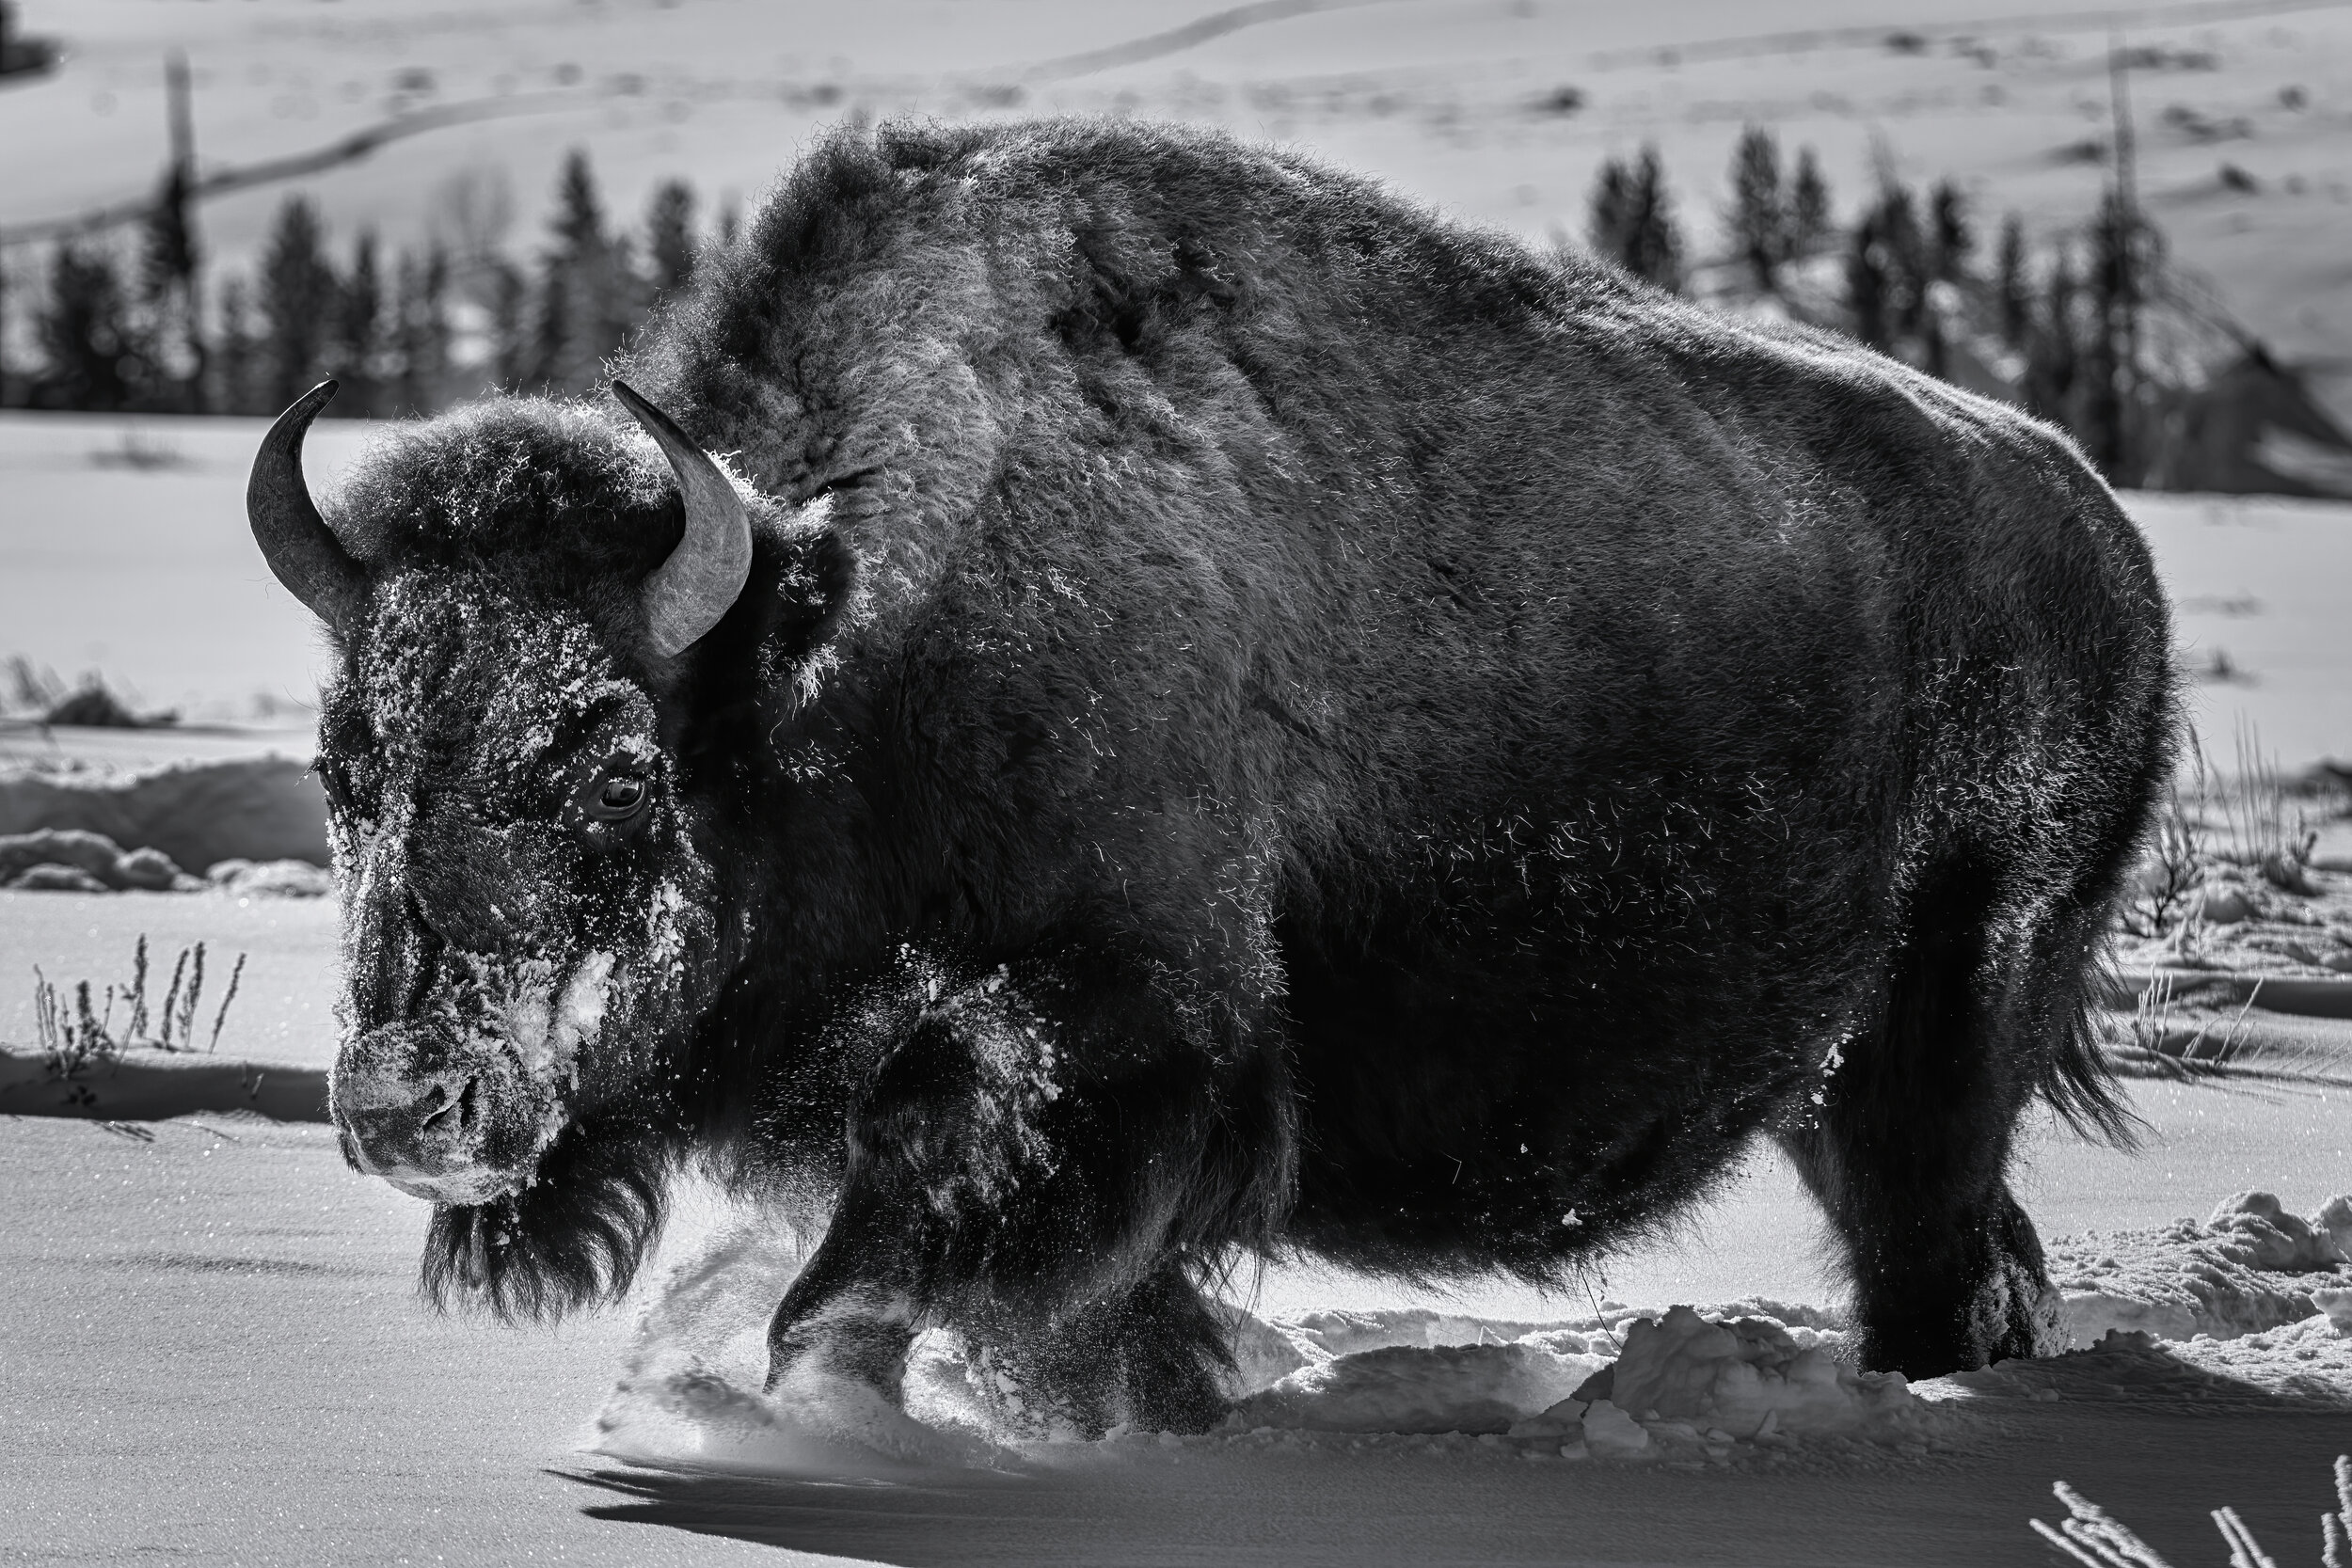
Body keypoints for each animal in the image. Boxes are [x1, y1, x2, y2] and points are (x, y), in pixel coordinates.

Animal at [252, 119, 2164, 1448]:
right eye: (347, 762)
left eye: (609, 763)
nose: (405, 1103)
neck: (838, 617)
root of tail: (2104, 533)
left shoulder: (1113, 1045)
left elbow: (876, 1272)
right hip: (1845, 1085)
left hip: (1951, 1023)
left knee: (1934, 1256)